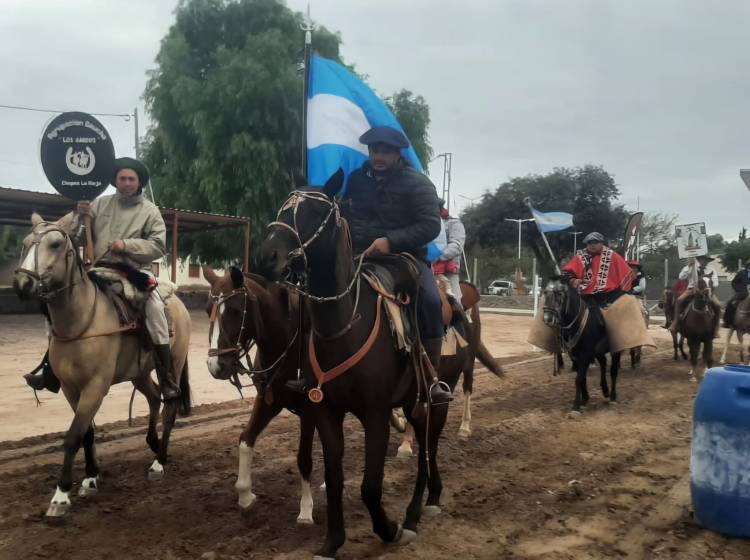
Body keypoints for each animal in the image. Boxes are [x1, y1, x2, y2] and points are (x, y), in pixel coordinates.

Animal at [12, 213, 191, 516]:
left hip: (173, 365)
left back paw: (159, 461)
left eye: (56, 244)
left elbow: (73, 435)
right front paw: (91, 477)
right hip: (139, 373)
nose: (23, 284)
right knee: (154, 397)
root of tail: (178, 303)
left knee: (170, 403)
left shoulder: (95, 387)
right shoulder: (72, 389)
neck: (81, 322)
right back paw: (154, 444)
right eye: (25, 243)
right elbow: (87, 431)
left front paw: (61, 496)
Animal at [258, 180, 452, 560]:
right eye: (282, 209)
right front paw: (332, 542)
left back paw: (416, 513)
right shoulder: (325, 412)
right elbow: (335, 479)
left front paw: (389, 529)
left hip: (426, 401)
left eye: (316, 212)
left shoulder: (376, 414)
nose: (266, 256)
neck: (344, 326)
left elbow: (370, 486)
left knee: (428, 449)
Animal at [540, 278, 624, 412]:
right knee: (603, 362)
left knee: (613, 370)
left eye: (559, 294)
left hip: (615, 349)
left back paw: (612, 397)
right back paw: (605, 390)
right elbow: (582, 377)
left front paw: (576, 406)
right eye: (545, 292)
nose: (548, 319)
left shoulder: (585, 354)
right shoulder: (575, 354)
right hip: (597, 351)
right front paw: (584, 399)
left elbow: (579, 379)